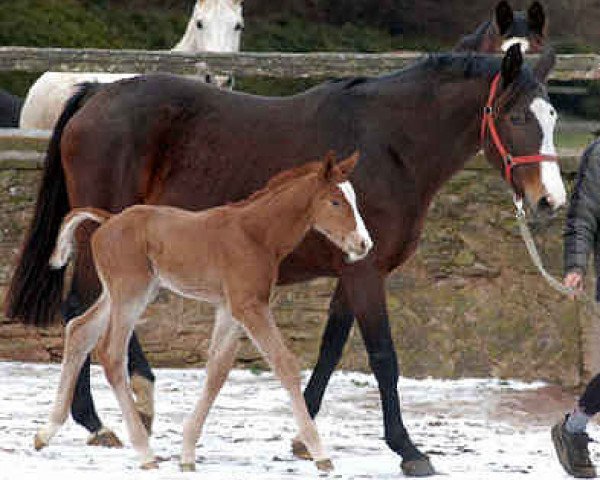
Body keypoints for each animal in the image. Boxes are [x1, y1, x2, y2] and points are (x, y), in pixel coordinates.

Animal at [34, 151, 370, 472]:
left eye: (354, 198)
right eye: (335, 201)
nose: (364, 244)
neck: (256, 234)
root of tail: (108, 220)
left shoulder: (230, 309)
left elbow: (217, 371)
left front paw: (187, 454)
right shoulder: (250, 305)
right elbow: (284, 364)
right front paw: (320, 454)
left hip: (123, 292)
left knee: (80, 331)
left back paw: (46, 433)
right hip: (131, 293)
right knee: (111, 353)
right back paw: (145, 453)